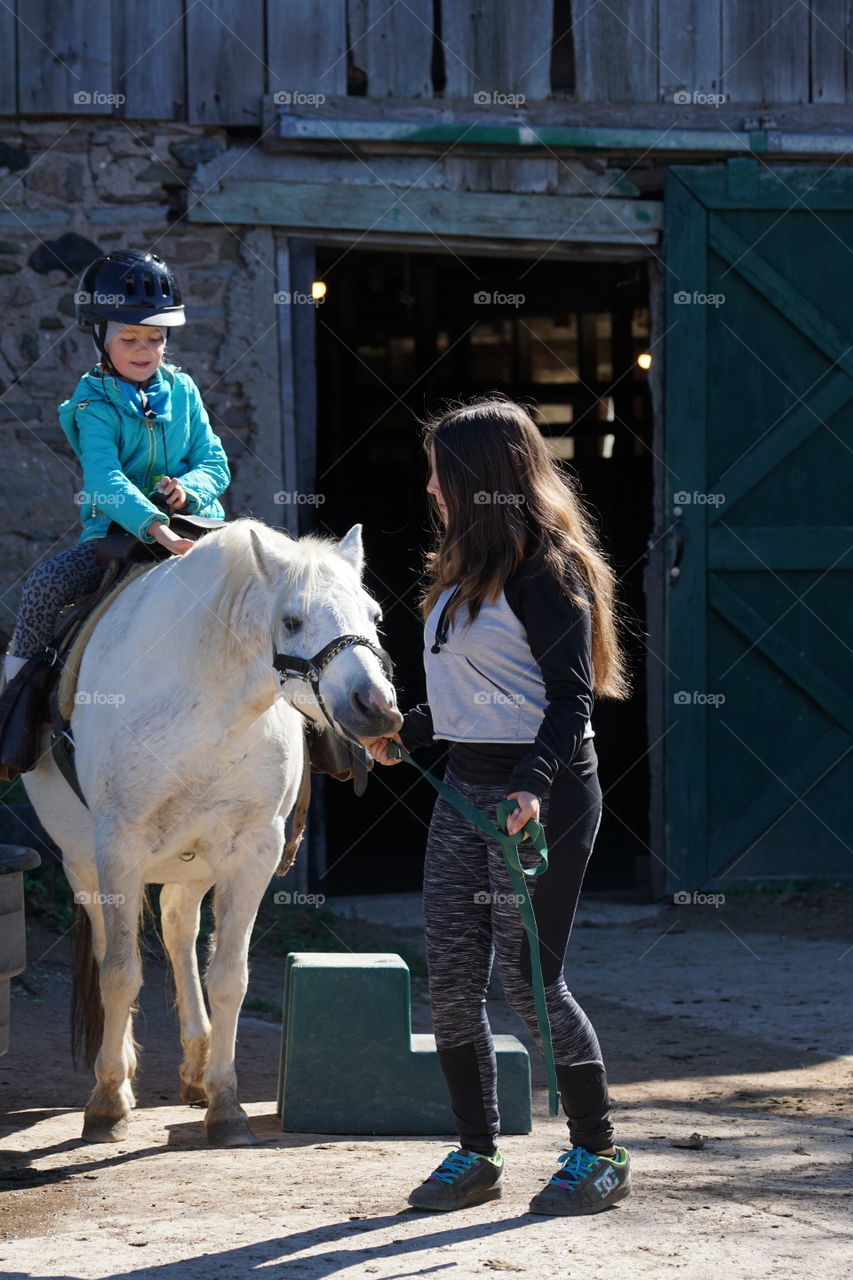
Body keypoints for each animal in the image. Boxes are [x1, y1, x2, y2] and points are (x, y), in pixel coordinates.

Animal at [22, 514, 402, 1146]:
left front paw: (224, 1104)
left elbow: (229, 978)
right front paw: (107, 1104)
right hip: (83, 864)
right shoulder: (117, 848)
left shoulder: (252, 854)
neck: (207, 709)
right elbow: (121, 973)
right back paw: (121, 1072)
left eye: (373, 615)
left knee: (179, 932)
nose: (376, 708)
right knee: (110, 950)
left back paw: (197, 1066)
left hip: (193, 866)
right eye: (291, 619)